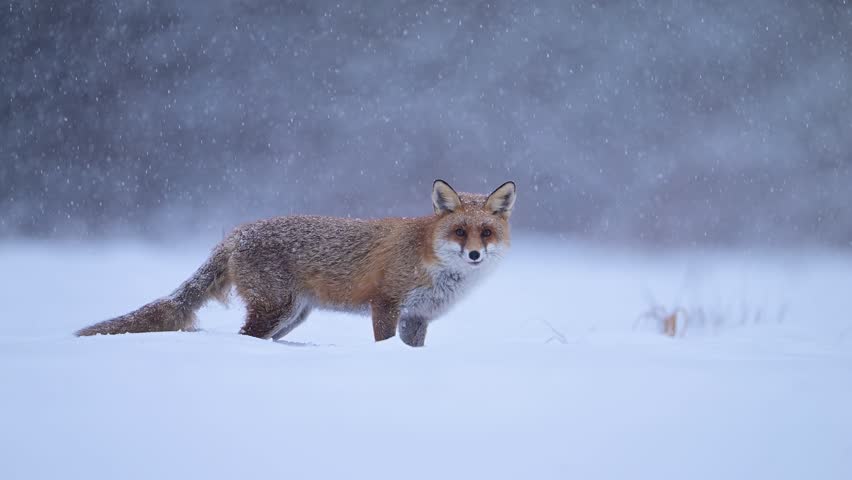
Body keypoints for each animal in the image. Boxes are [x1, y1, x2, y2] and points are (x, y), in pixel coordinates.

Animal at [75, 180, 516, 346]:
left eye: (485, 233)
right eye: (459, 232)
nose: (474, 255)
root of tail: (237, 232)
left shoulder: (418, 317)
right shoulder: (386, 304)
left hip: (291, 317)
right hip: (276, 309)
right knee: (245, 338)